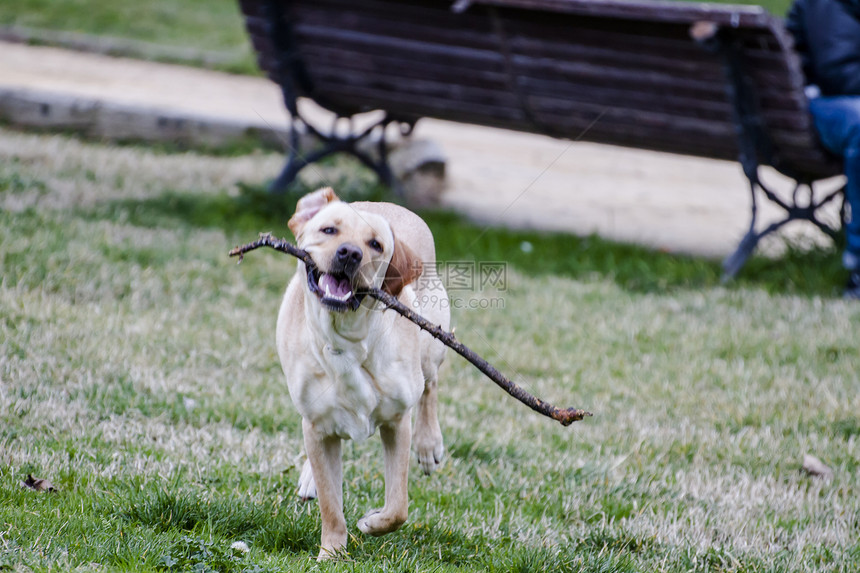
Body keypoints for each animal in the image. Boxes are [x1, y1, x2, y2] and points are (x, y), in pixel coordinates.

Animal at [278, 188, 454, 560]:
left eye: (375, 244)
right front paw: (331, 553)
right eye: (329, 230)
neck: (346, 338)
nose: (350, 253)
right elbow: (331, 504)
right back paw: (310, 479)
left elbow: (398, 507)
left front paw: (371, 523)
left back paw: (429, 445)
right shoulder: (316, 425)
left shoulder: (397, 422)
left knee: (430, 386)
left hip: (433, 343)